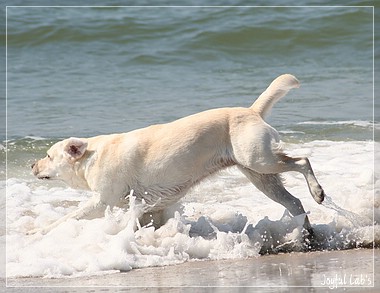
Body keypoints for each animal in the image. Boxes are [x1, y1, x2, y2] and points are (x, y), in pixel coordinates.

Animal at [31, 74, 326, 234]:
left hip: (260, 160)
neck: (91, 157)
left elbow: (68, 217)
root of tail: (252, 110)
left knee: (303, 161)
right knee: (294, 202)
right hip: (260, 175)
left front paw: (40, 231)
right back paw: (306, 232)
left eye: (48, 155)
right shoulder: (151, 206)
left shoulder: (102, 202)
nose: (32, 165)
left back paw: (318, 192)